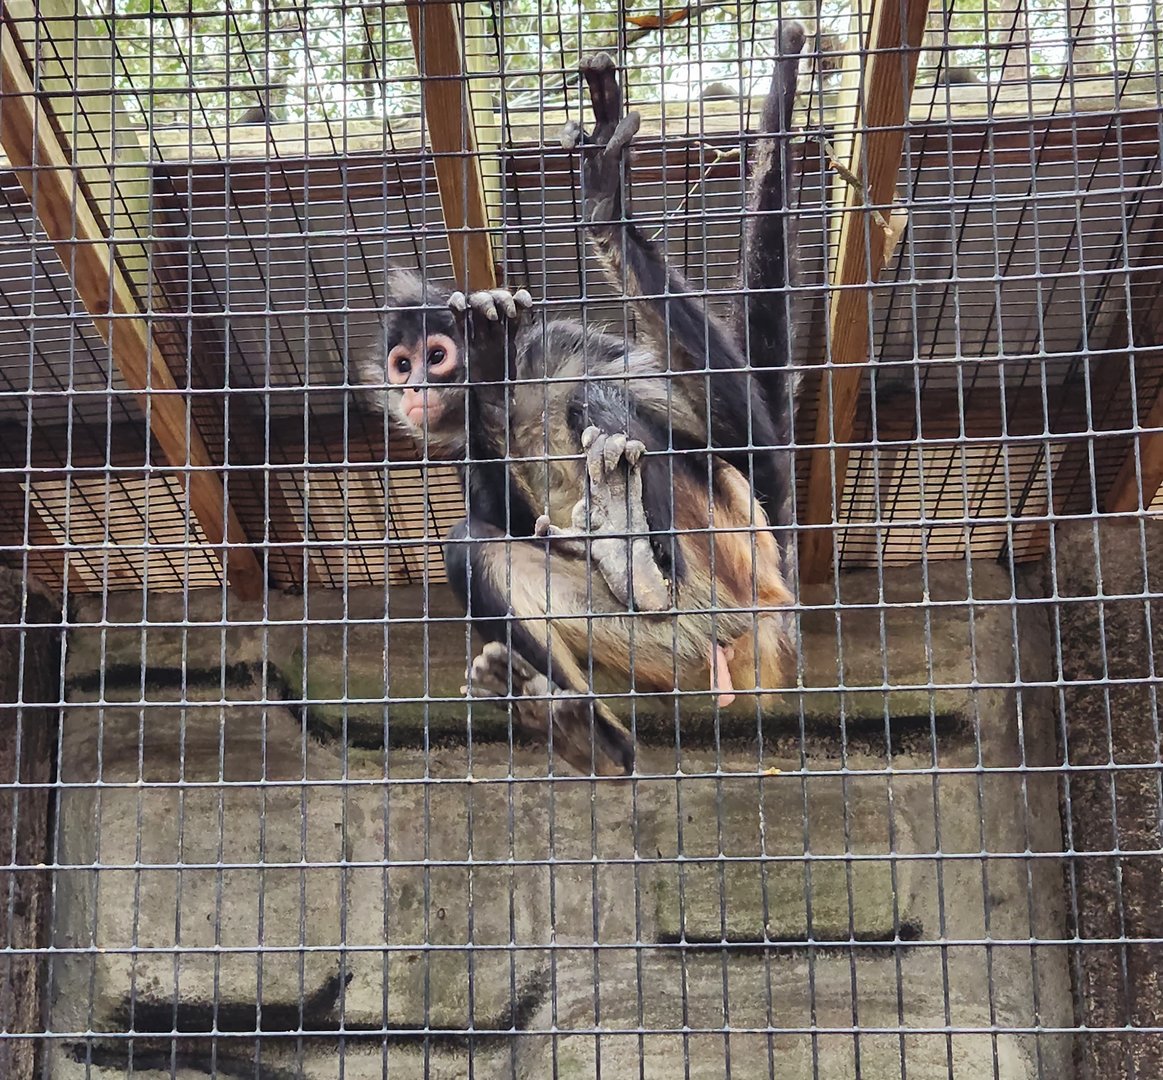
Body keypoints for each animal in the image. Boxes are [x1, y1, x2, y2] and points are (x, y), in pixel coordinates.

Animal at [356, 26, 806, 776]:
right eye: (401, 364)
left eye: (435, 356)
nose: (414, 387)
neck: (513, 403)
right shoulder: (468, 436)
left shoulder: (558, 348)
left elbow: (762, 459)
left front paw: (606, 206)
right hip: (666, 647)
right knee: (473, 548)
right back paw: (586, 735)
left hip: (738, 566)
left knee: (603, 402)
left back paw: (640, 569)